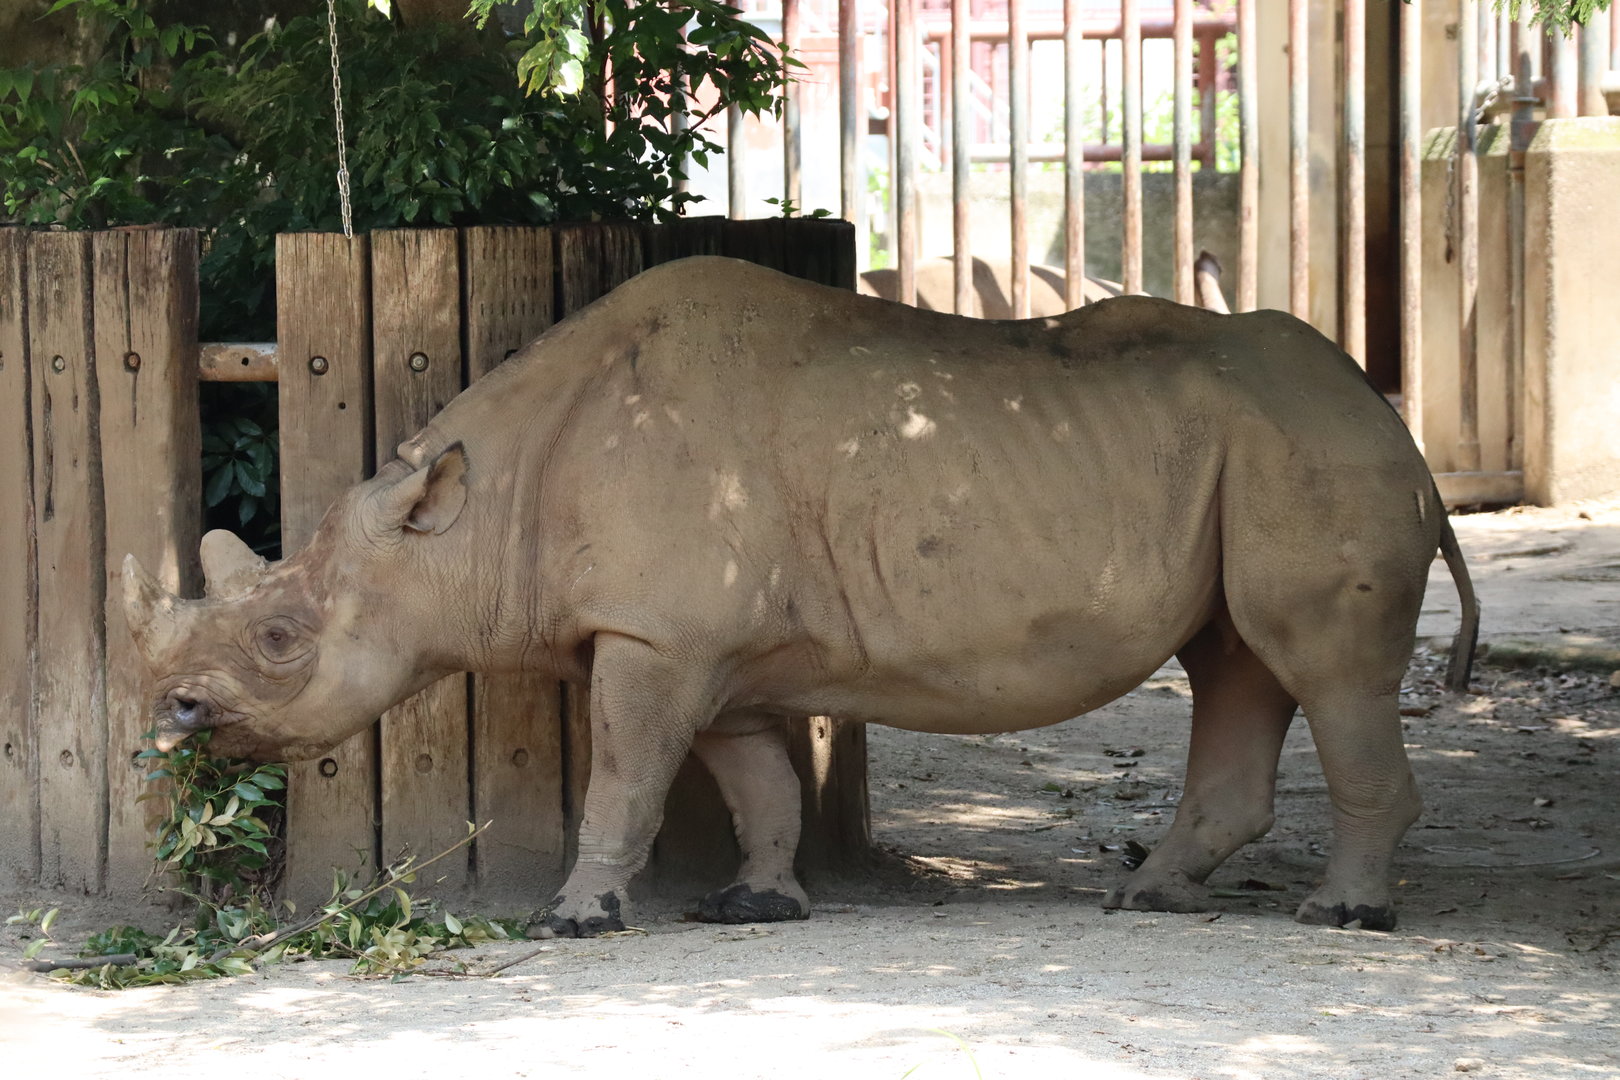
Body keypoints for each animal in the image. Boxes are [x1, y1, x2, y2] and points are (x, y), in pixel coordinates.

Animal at [124, 256, 1478, 936]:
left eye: (283, 637)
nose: (172, 713)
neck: (468, 515)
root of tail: (1394, 423)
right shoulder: (701, 647)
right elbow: (753, 775)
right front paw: (754, 904)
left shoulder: (654, 634)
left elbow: (624, 774)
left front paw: (577, 918)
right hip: (1255, 453)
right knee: (1237, 658)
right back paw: (1143, 895)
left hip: (1313, 453)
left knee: (1324, 668)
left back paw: (1341, 917)